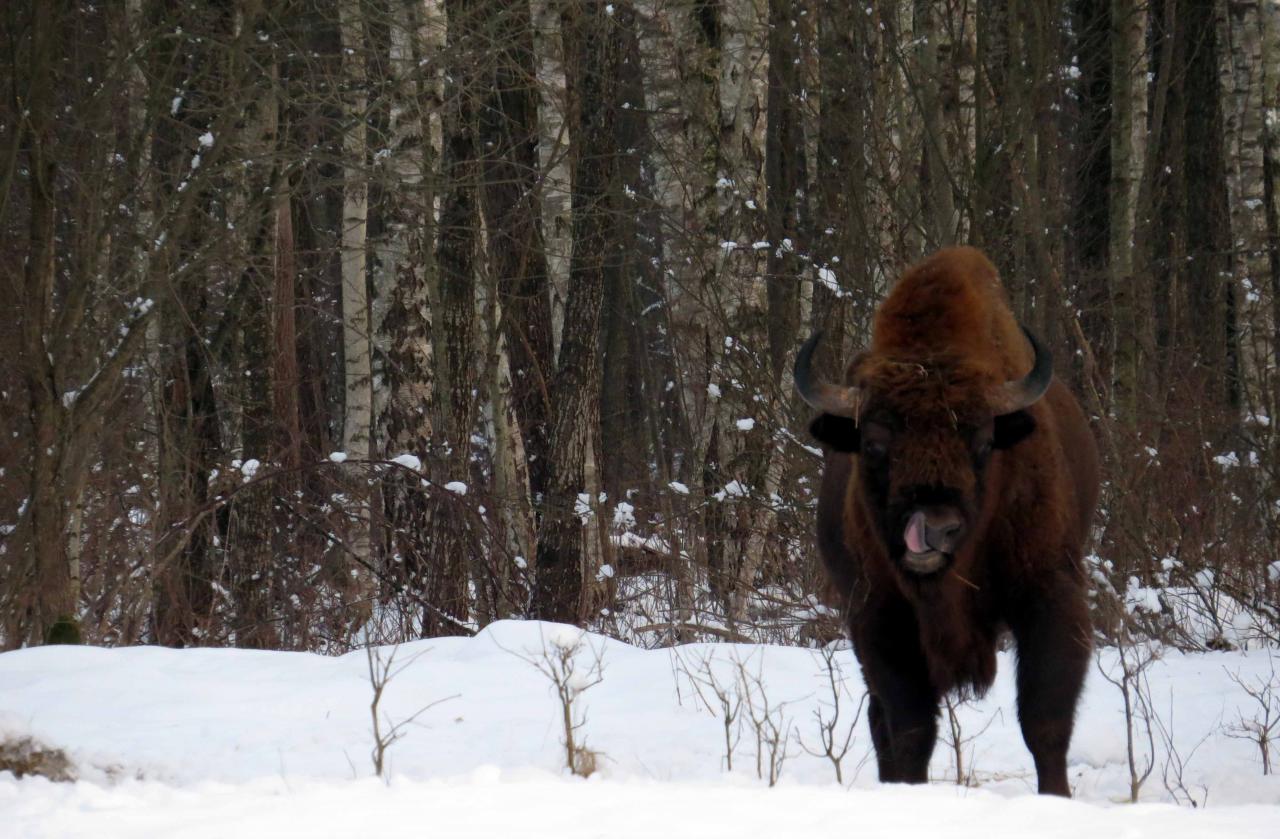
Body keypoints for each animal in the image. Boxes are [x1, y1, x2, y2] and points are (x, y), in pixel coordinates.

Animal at [788, 245, 1100, 799]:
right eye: (874, 442)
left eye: (982, 441)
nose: (934, 527)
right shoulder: (878, 617)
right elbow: (912, 727)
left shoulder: (1051, 594)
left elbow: (1045, 720)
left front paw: (1057, 799)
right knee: (881, 721)